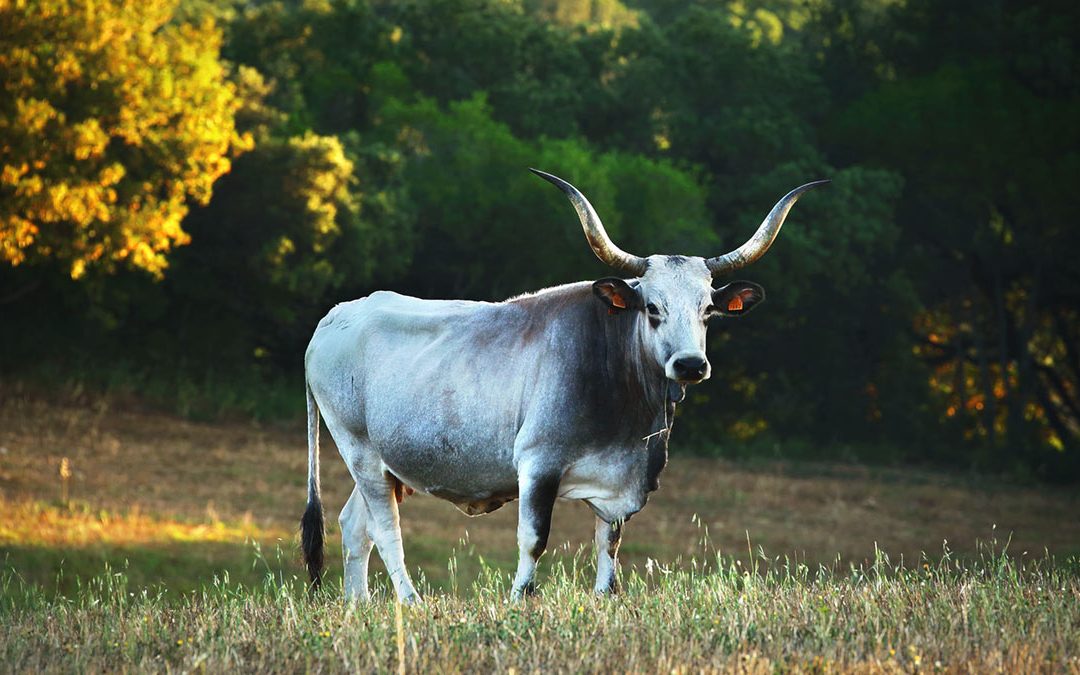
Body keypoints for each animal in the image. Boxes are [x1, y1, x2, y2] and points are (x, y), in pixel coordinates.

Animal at [300, 169, 820, 600]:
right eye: (652, 308)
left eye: (708, 310)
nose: (691, 364)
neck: (630, 412)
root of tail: (335, 316)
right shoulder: (538, 465)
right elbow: (533, 542)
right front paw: (517, 603)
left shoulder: (617, 486)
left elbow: (609, 549)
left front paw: (603, 601)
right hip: (360, 450)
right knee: (386, 531)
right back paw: (410, 602)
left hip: (388, 464)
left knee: (354, 525)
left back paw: (358, 607)